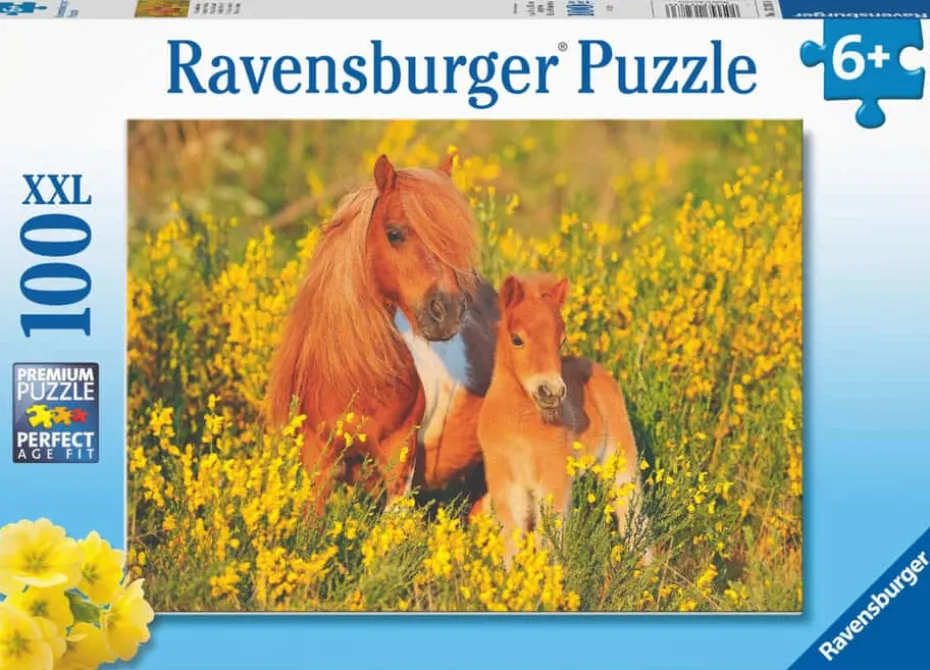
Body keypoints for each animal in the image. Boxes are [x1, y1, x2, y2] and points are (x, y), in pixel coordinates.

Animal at [474, 274, 648, 563]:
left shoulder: (553, 478)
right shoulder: (506, 482)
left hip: (620, 455)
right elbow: (511, 539)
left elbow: (548, 539)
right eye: (517, 339)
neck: (521, 427)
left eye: (561, 340)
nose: (551, 392)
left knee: (632, 513)